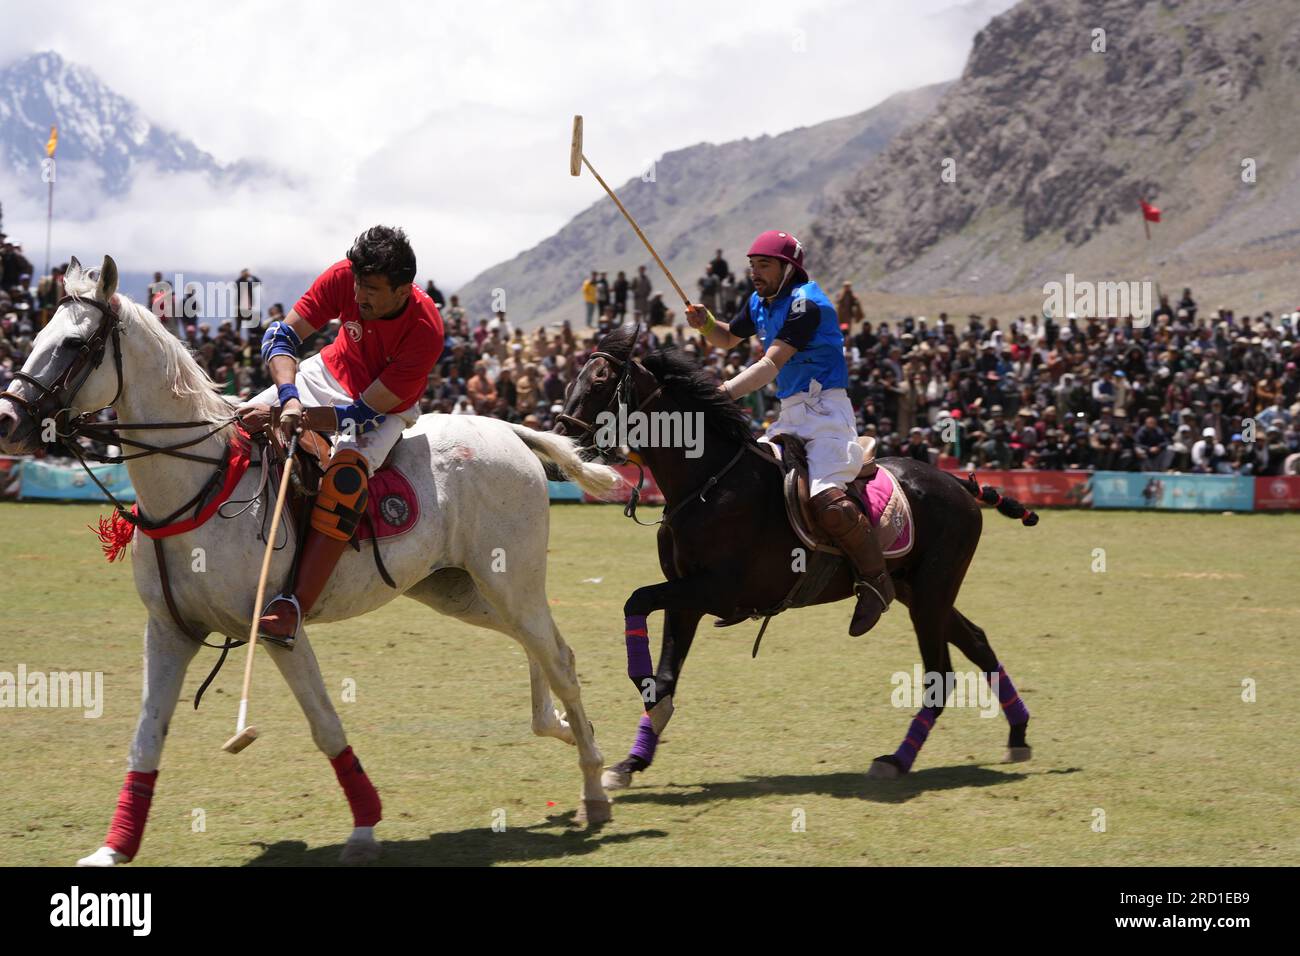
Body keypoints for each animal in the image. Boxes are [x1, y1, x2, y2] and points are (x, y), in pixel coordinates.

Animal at [0, 256, 624, 868]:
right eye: (37, 334)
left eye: (76, 344)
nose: (8, 421)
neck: (199, 484)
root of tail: (510, 429)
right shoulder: (169, 630)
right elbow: (146, 736)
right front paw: (114, 847)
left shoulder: (279, 629)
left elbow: (325, 725)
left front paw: (365, 827)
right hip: (457, 588)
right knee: (535, 644)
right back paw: (562, 728)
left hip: (508, 577)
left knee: (558, 656)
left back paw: (594, 786)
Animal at [553, 325, 1040, 790]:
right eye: (572, 378)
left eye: (600, 381)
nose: (559, 447)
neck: (706, 481)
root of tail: (956, 482)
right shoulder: (685, 596)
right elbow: (667, 670)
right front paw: (631, 760)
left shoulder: (717, 591)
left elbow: (635, 600)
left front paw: (643, 692)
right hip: (917, 590)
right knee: (977, 641)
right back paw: (1018, 733)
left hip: (932, 591)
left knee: (941, 673)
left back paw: (897, 759)